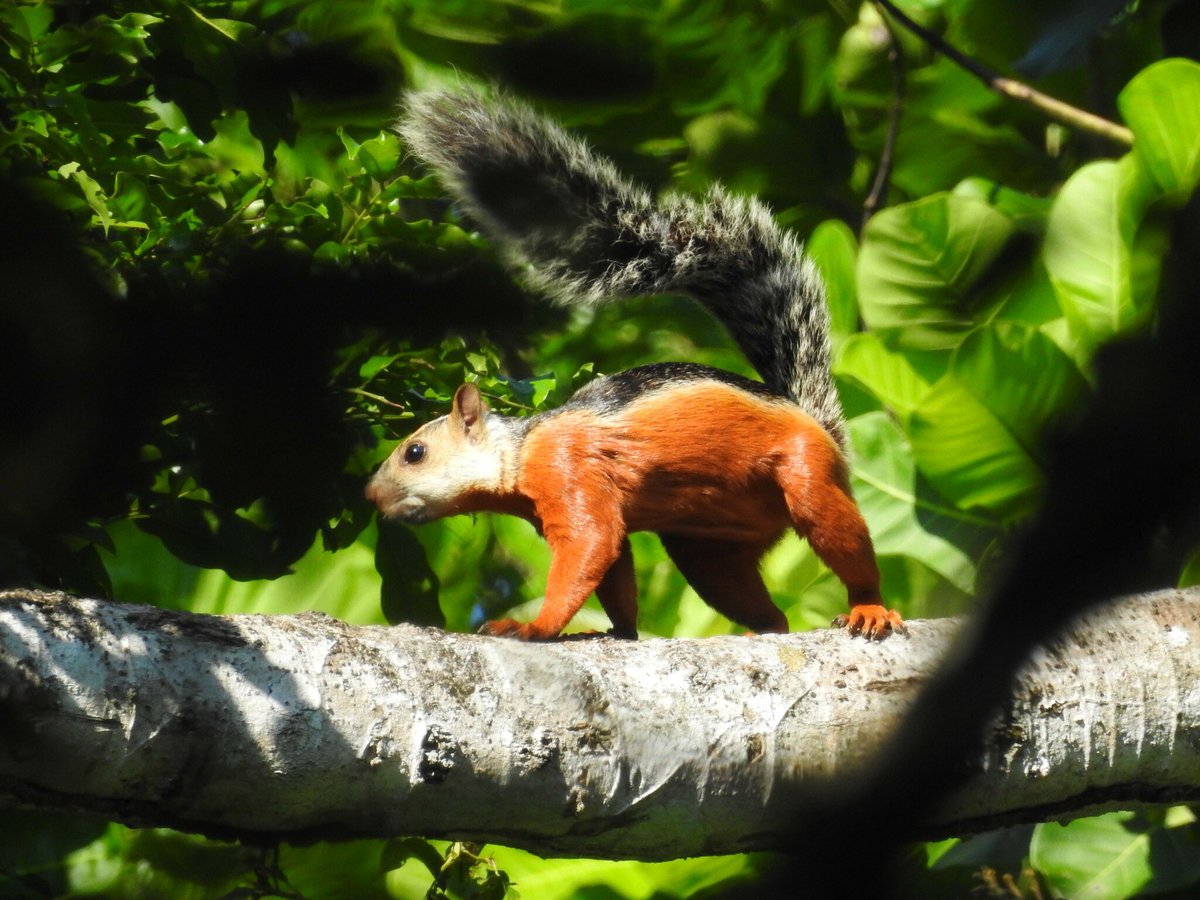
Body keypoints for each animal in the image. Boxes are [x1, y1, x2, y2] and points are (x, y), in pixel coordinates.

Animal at [366, 88, 905, 641]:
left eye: (415, 452)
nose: (370, 495)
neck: (520, 451)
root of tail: (817, 424)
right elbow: (614, 568)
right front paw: (614, 631)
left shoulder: (568, 468)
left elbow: (590, 544)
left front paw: (533, 627)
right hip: (709, 550)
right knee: (763, 609)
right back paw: (761, 632)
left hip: (806, 474)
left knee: (835, 531)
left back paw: (870, 607)